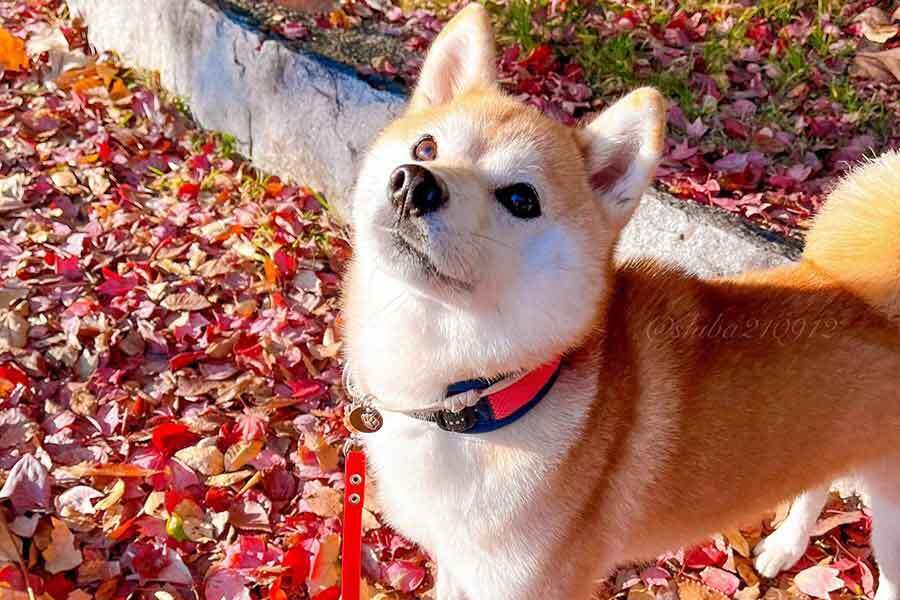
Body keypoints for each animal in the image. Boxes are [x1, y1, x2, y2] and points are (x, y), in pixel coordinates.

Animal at [342, 5, 900, 600]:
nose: (413, 183)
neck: (472, 400)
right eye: (426, 147)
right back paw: (785, 546)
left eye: (521, 198)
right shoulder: (459, 566)